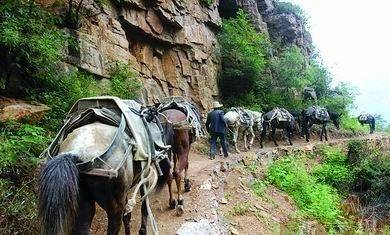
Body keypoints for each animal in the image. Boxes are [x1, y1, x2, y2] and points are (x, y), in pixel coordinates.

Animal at [38, 107, 171, 234]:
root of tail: (77, 153)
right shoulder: (146, 178)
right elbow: (144, 207)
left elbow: (128, 215)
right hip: (114, 206)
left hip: (82, 202)